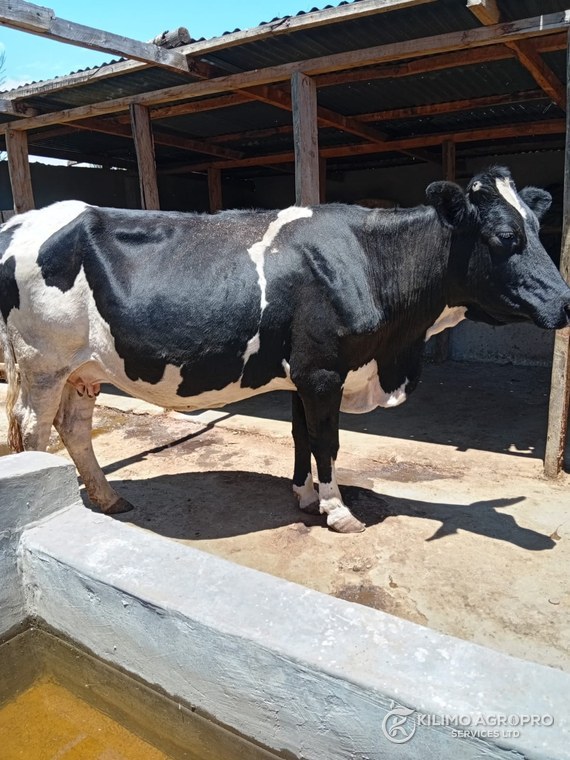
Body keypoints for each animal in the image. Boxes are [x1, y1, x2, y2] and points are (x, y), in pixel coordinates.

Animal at [1, 166, 569, 533]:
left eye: (539, 227)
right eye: (504, 235)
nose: (565, 301)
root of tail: (22, 219)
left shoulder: (307, 371)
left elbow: (301, 437)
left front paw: (305, 497)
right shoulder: (323, 372)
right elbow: (327, 443)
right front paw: (339, 513)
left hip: (83, 369)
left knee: (74, 428)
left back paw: (109, 498)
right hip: (43, 361)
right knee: (34, 429)